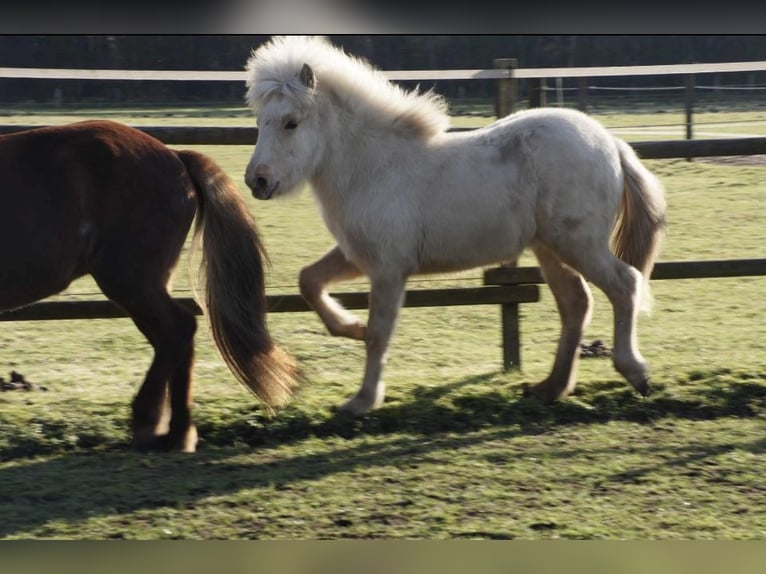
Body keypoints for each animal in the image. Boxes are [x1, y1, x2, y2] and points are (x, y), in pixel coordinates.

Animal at [0, 120, 300, 454]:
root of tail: (174, 156)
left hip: (130, 281)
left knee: (178, 330)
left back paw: (152, 424)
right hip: (141, 287)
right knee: (173, 337)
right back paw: (178, 433)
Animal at [244, 36, 664, 416]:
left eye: (291, 123)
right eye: (260, 121)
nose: (257, 181)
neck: (373, 167)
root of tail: (612, 144)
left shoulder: (388, 269)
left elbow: (379, 334)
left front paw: (362, 401)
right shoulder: (358, 255)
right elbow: (309, 281)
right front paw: (351, 326)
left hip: (579, 244)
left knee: (624, 284)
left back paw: (635, 372)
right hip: (550, 248)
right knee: (576, 303)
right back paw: (550, 387)